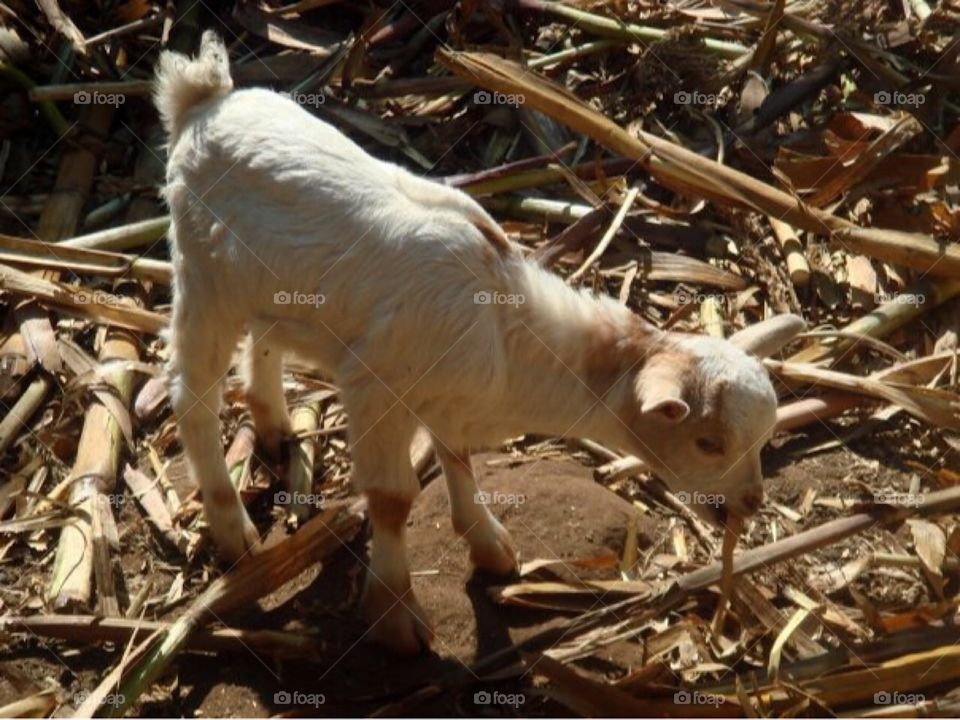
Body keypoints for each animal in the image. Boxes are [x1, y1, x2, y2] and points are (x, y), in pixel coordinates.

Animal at [155, 32, 805, 654]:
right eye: (707, 442)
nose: (751, 503)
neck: (507, 338)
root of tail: (203, 97)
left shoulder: (445, 395)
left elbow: (458, 455)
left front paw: (490, 546)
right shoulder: (376, 389)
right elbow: (392, 499)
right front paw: (396, 616)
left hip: (270, 288)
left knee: (264, 340)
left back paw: (274, 427)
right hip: (202, 275)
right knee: (191, 396)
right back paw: (232, 530)